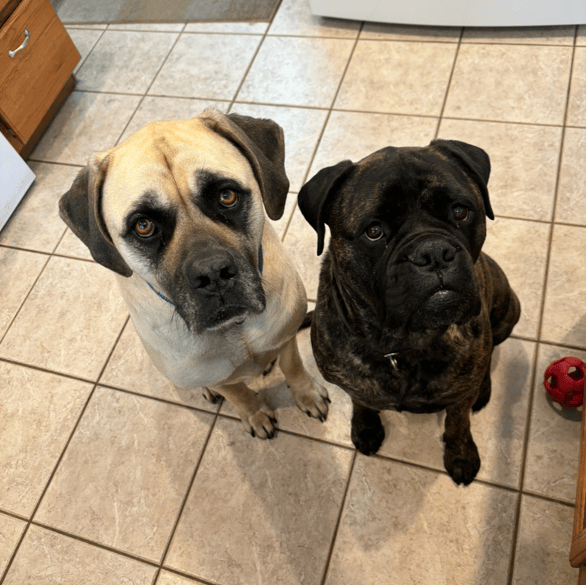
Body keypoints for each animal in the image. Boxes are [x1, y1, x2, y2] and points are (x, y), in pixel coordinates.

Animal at [59, 109, 329, 439]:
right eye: (143, 226)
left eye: (227, 196)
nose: (213, 274)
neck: (234, 329)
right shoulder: (216, 376)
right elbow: (237, 393)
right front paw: (254, 413)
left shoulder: (287, 337)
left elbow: (293, 367)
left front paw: (307, 394)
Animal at [298, 140, 520, 485]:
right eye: (374, 231)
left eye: (460, 211)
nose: (433, 252)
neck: (402, 346)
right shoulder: (351, 382)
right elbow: (361, 401)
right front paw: (365, 427)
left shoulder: (460, 397)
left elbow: (458, 422)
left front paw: (461, 455)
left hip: (509, 310)